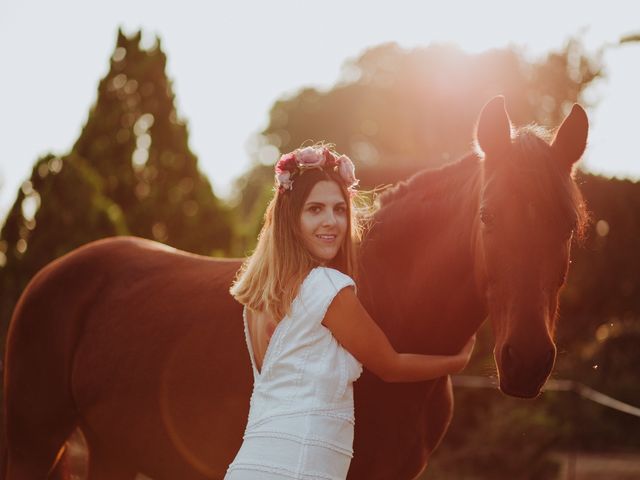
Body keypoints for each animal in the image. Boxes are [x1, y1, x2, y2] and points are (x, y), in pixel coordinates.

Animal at [2, 95, 588, 478]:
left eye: (569, 225)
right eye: (488, 217)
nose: (527, 361)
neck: (393, 312)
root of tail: (55, 274)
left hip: (116, 451)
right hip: (32, 445)